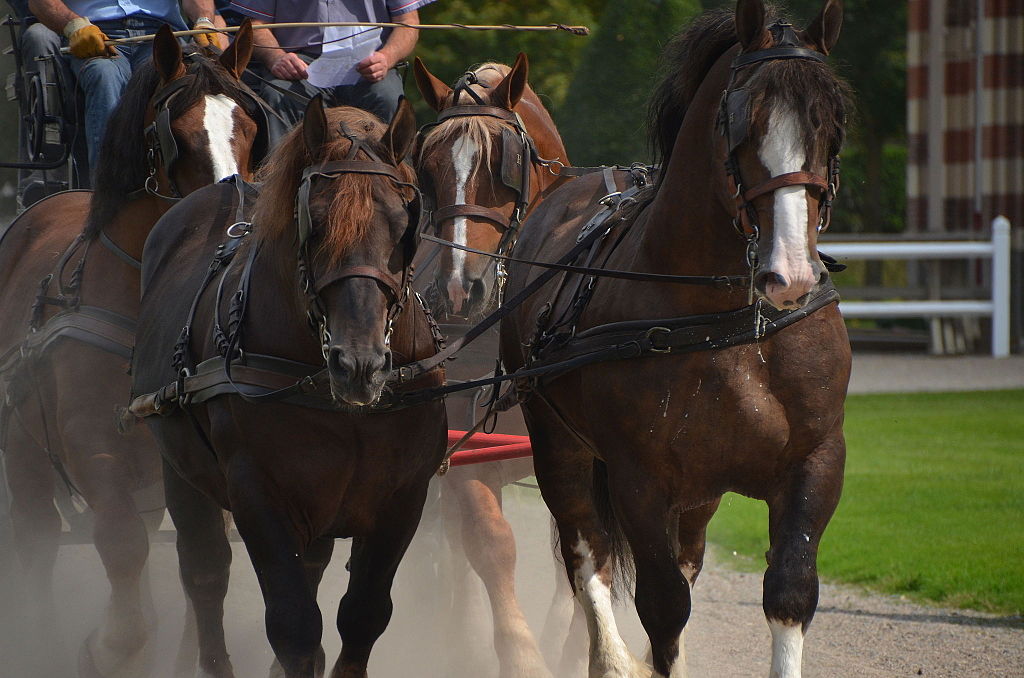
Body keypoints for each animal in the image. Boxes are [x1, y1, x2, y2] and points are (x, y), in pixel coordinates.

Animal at [0, 23, 260, 675]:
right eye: (176, 138)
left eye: (248, 126)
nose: (233, 222)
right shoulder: (90, 442)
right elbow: (121, 545)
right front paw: (105, 647)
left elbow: (200, 570)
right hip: (25, 451)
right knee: (38, 541)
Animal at [130, 100, 446, 678]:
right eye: (314, 224)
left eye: (403, 225)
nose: (359, 364)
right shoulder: (259, 497)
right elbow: (294, 626)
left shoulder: (402, 499)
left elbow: (363, 616)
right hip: (181, 472)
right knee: (205, 575)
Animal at [415, 54, 577, 678]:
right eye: (429, 167)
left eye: (503, 164)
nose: (461, 289)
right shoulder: (464, 450)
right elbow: (490, 543)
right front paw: (522, 652)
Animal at [501, 2, 847, 675]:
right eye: (742, 121)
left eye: (832, 122)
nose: (790, 273)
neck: (731, 322)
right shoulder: (639, 479)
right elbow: (661, 606)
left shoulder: (816, 461)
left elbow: (789, 592)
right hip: (559, 444)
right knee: (588, 553)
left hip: (697, 495)